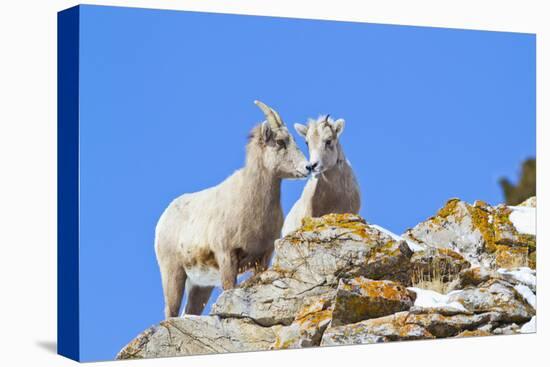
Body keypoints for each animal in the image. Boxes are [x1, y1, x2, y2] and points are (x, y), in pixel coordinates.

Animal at [155, 101, 310, 320]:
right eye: (280, 142)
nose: (308, 167)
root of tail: (163, 219)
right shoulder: (227, 256)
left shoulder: (263, 258)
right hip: (173, 273)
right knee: (172, 312)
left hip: (200, 286)